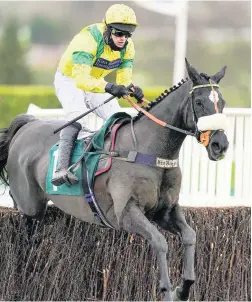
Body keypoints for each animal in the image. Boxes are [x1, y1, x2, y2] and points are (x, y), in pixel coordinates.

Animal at [0, 59, 228, 302]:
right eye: (199, 102)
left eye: (222, 103)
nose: (220, 145)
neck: (149, 151)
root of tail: (28, 124)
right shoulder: (125, 213)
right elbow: (160, 242)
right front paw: (167, 290)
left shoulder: (165, 211)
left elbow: (190, 235)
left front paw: (182, 289)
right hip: (31, 205)